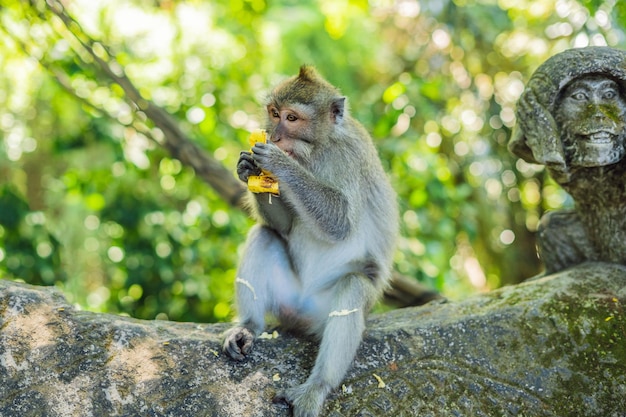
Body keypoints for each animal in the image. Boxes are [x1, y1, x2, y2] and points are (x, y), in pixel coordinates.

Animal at [222, 65, 394, 416]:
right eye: (274, 113)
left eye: (292, 118)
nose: (274, 136)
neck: (316, 149)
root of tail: (301, 313)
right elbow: (283, 227)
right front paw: (247, 168)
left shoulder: (349, 157)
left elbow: (340, 222)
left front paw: (278, 163)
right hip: (286, 298)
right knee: (264, 235)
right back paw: (248, 326)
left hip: (322, 311)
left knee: (354, 285)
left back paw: (316, 387)